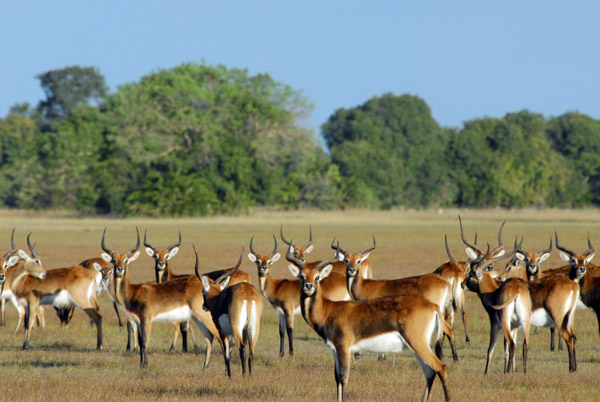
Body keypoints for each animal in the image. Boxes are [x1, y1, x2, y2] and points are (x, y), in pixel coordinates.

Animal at [102, 226, 221, 368]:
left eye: (126, 260)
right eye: (114, 260)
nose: (119, 269)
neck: (133, 292)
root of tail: (210, 284)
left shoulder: (146, 319)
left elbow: (145, 342)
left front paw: (145, 365)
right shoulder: (138, 321)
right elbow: (141, 342)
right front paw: (141, 364)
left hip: (203, 316)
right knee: (210, 337)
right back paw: (205, 366)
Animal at [198, 245, 264, 376]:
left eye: (203, 291)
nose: (203, 306)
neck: (217, 299)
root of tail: (248, 294)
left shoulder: (222, 331)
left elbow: (226, 353)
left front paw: (228, 375)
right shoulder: (242, 330)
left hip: (237, 327)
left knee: (241, 348)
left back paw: (243, 375)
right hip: (253, 327)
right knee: (251, 351)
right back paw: (249, 375)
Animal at [286, 245, 450, 402]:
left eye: (317, 277)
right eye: (301, 276)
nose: (308, 286)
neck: (329, 310)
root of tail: (431, 305)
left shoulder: (343, 348)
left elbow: (344, 378)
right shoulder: (334, 350)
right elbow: (337, 378)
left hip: (417, 343)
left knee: (440, 367)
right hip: (417, 346)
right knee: (430, 372)